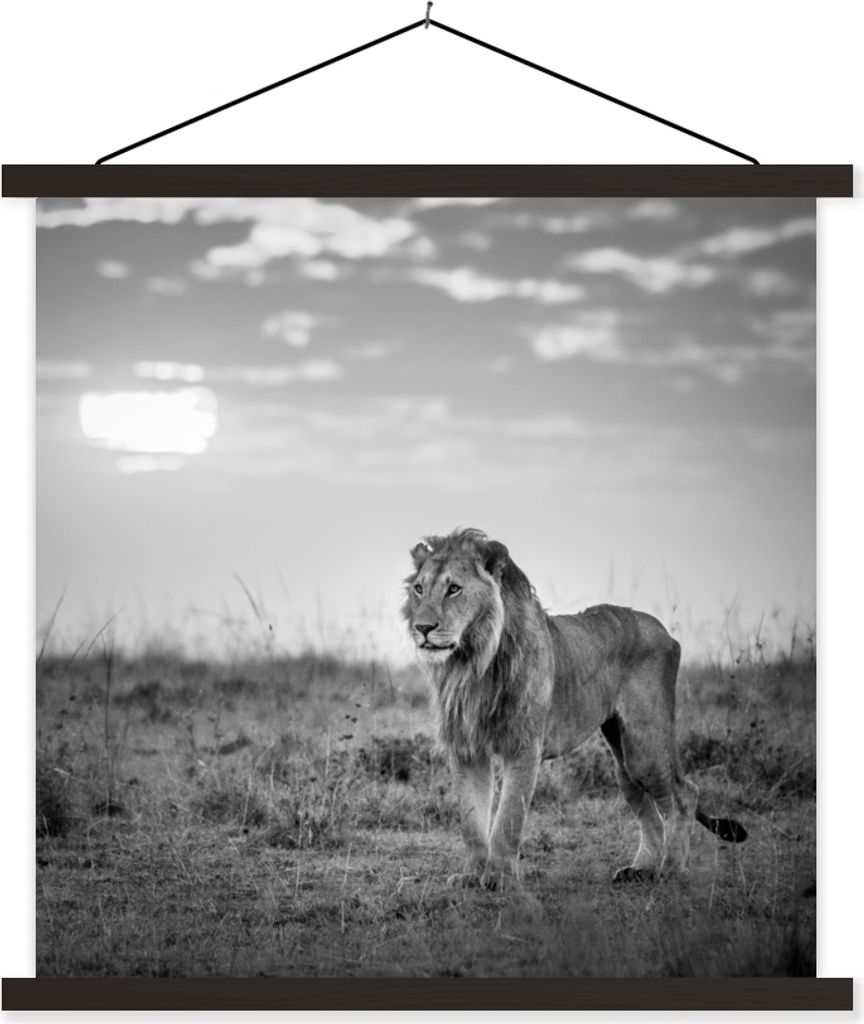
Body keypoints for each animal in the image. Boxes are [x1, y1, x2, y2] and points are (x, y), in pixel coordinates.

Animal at [403, 527, 746, 889]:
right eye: (419, 588)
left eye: (454, 589)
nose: (422, 628)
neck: (472, 662)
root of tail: (663, 630)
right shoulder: (467, 748)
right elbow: (472, 820)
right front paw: (471, 875)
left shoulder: (524, 746)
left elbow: (509, 818)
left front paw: (499, 878)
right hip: (623, 760)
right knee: (650, 812)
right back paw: (640, 870)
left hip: (645, 749)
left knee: (685, 795)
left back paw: (672, 870)